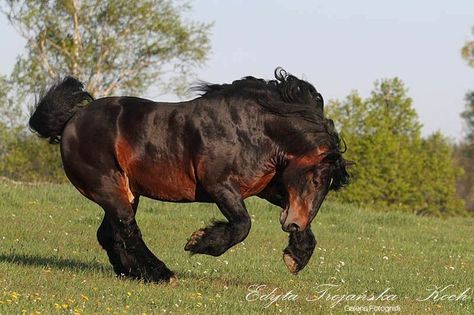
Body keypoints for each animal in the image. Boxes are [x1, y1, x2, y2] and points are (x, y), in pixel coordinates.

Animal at [28, 68, 348, 286]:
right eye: (317, 180)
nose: (293, 224)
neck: (253, 128)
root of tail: (70, 122)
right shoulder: (220, 187)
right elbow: (242, 225)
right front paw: (200, 242)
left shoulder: (265, 188)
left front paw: (296, 256)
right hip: (110, 189)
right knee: (128, 231)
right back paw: (160, 273)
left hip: (128, 193)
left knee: (111, 234)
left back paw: (133, 273)